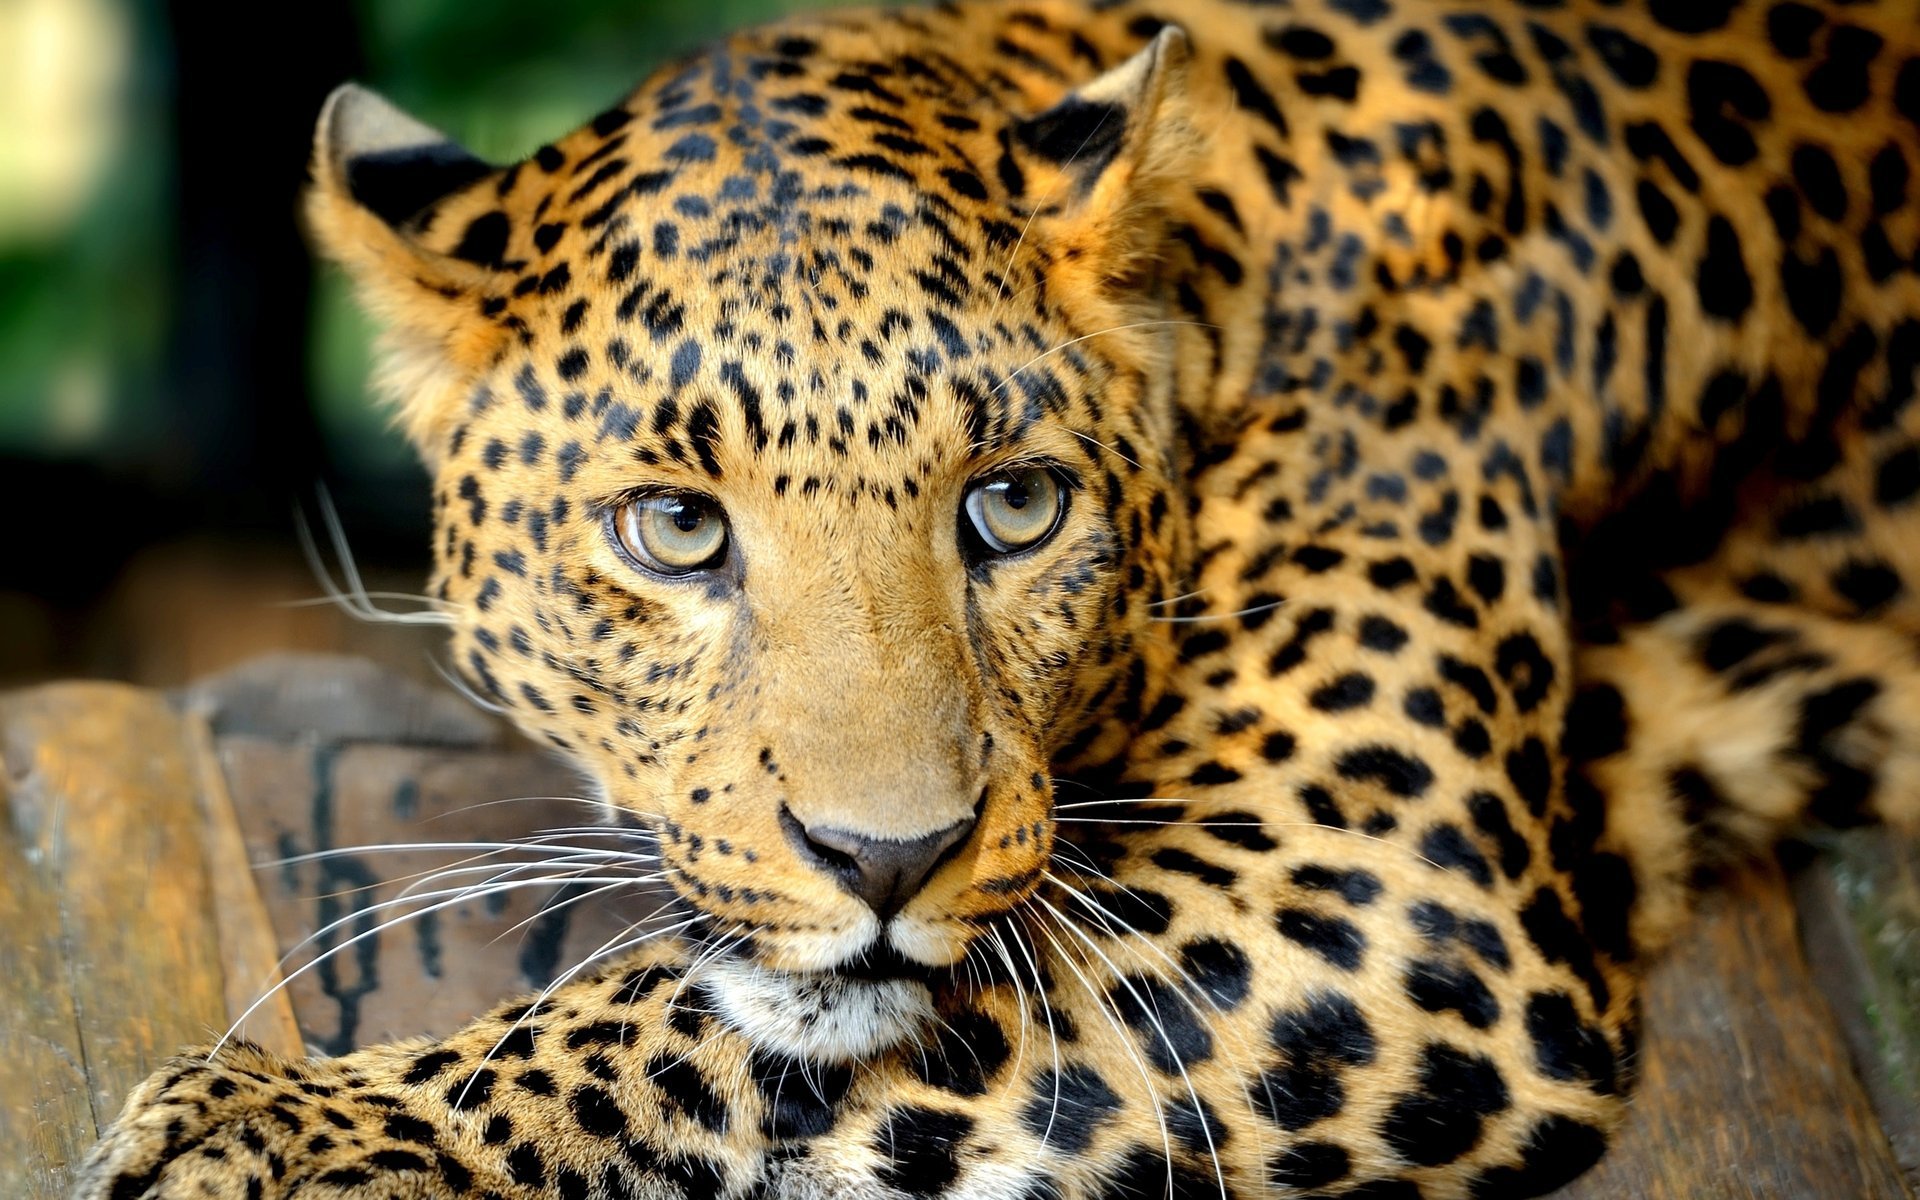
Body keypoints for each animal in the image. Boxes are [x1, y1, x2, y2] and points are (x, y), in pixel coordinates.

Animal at [82, 0, 1920, 1190]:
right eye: (676, 530)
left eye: (1013, 506)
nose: (888, 859)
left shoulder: (1385, 887)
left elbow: (716, 1020)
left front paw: (314, 1129)